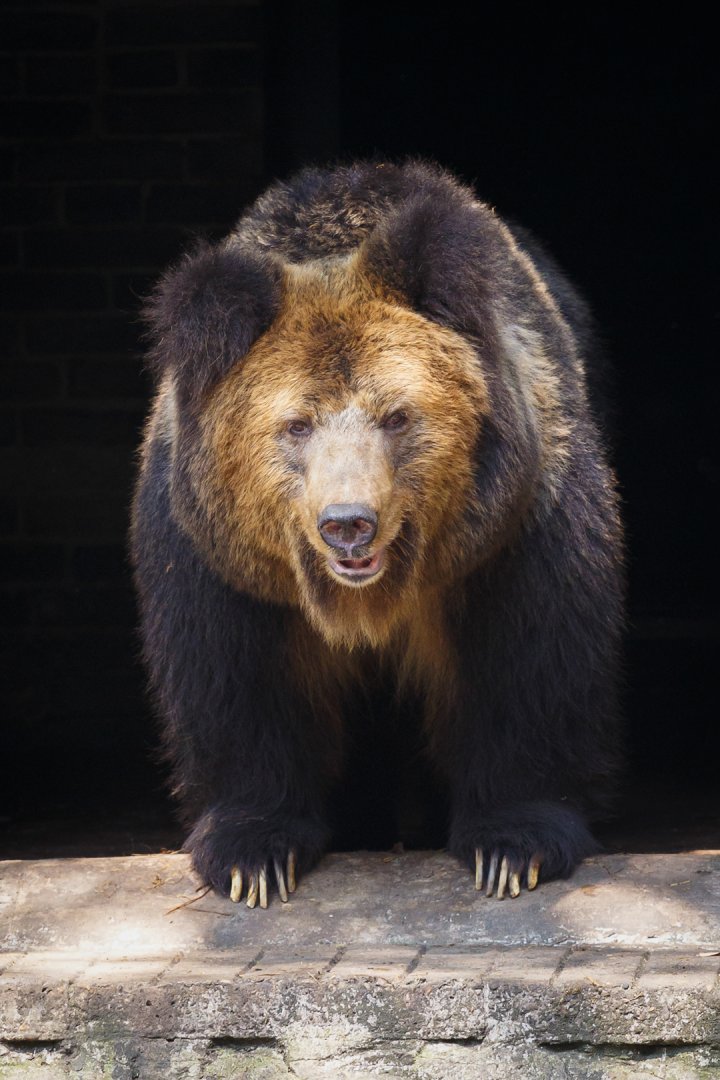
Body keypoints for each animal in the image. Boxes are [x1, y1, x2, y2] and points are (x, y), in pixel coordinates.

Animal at [131, 160, 624, 908]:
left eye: (396, 416)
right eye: (295, 425)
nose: (347, 524)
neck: (369, 598)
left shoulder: (507, 534)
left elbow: (528, 659)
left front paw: (514, 847)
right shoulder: (226, 565)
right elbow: (236, 681)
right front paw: (253, 855)